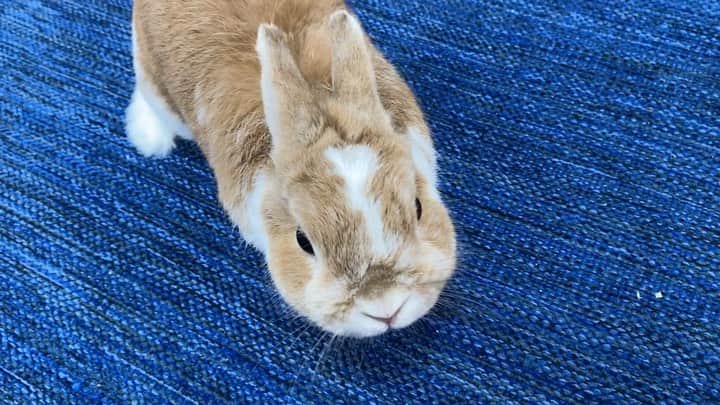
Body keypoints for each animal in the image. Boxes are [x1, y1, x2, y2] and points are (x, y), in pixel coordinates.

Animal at [126, 0, 456, 337]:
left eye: (418, 207)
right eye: (303, 241)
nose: (386, 308)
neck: (322, 104)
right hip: (153, 81)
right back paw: (149, 137)